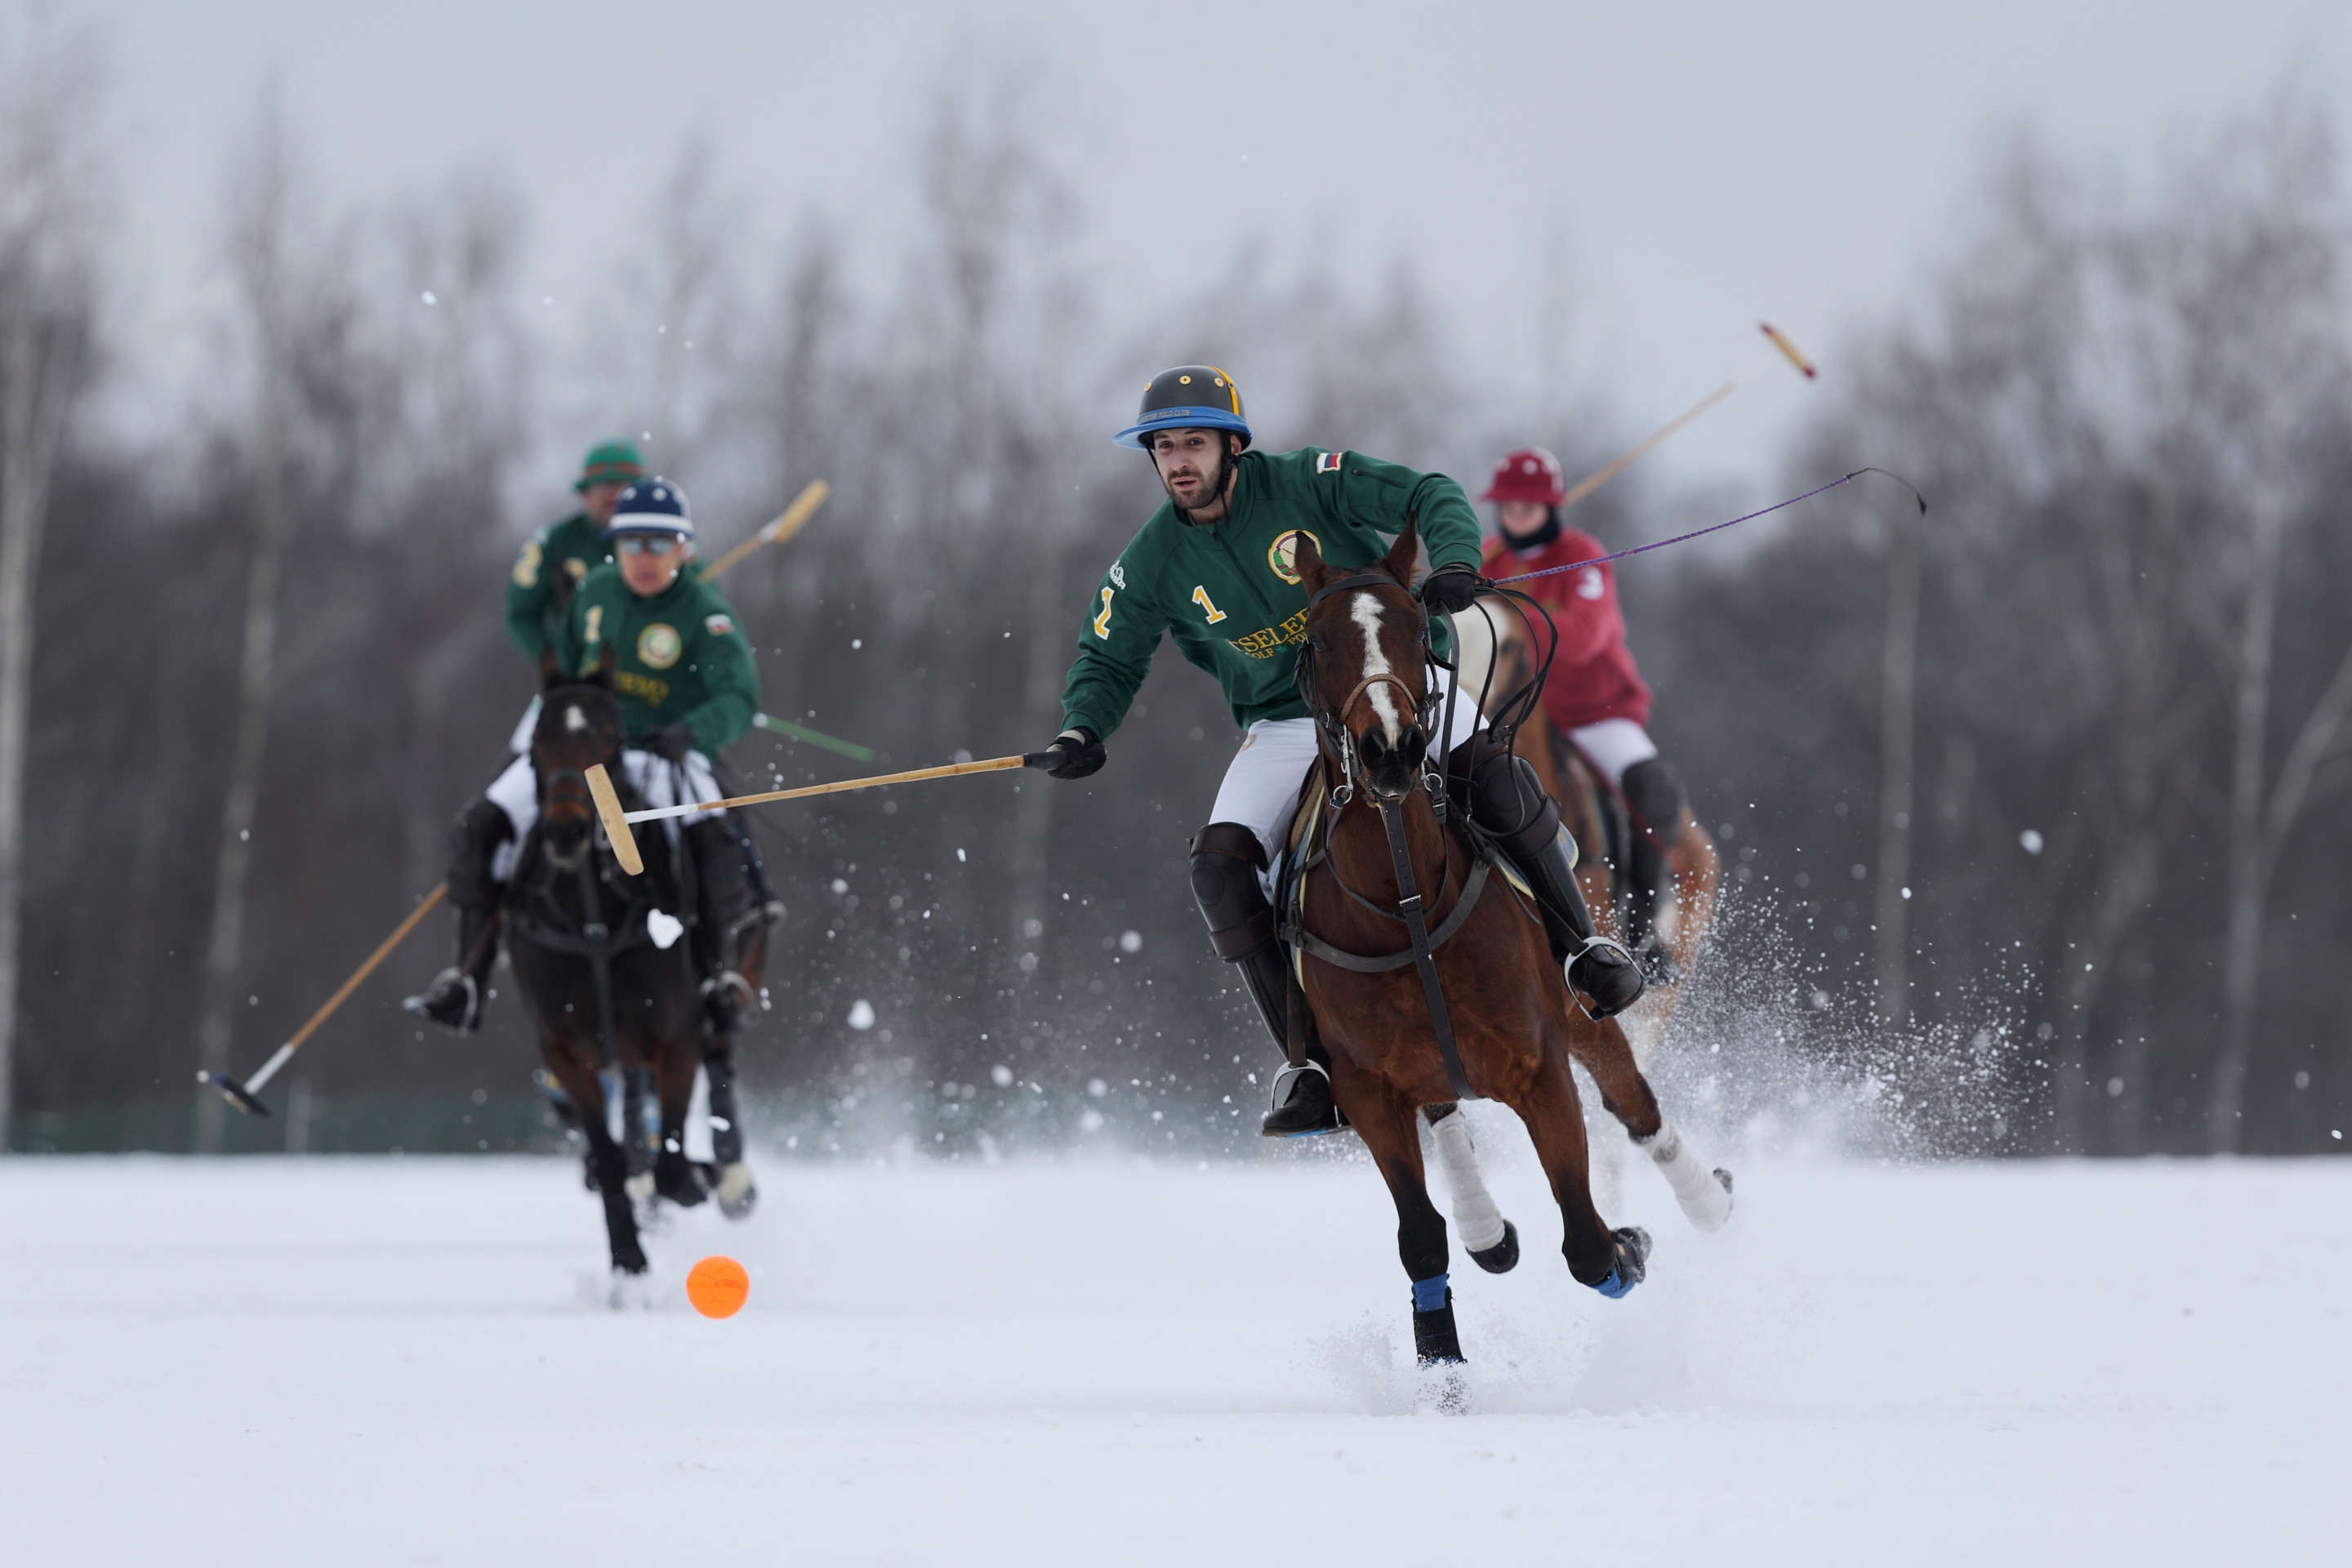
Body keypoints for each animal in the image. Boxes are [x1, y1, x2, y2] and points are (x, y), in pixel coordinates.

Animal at [508, 681, 757, 1278]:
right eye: (538, 739)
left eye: (609, 736)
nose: (567, 830)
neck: (594, 923)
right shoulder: (564, 1050)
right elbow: (608, 1155)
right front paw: (628, 1255)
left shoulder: (676, 1035)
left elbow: (673, 1166)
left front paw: (696, 1178)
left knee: (720, 1055)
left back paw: (729, 1179)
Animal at [1289, 531, 1731, 1382]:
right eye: (1317, 641)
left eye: (1416, 630)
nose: (1395, 750)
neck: (1403, 899)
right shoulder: (1368, 1091)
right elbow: (1420, 1233)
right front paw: (1442, 1365)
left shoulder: (1542, 1063)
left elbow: (1588, 1242)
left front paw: (1630, 1239)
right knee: (1448, 1116)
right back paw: (1486, 1228)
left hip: (1612, 1000)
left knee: (1636, 1107)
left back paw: (1707, 1198)